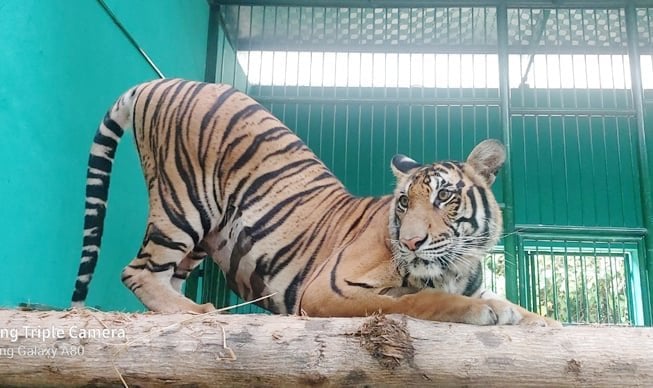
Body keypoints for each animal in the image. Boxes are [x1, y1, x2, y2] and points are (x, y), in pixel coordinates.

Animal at [72, 79, 560, 328]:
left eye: (445, 195)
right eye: (404, 203)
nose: (412, 243)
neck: (455, 266)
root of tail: (158, 80)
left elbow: (520, 309)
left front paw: (540, 321)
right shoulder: (329, 289)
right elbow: (416, 301)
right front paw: (482, 311)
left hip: (200, 236)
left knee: (165, 277)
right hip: (183, 203)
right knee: (139, 271)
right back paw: (198, 312)